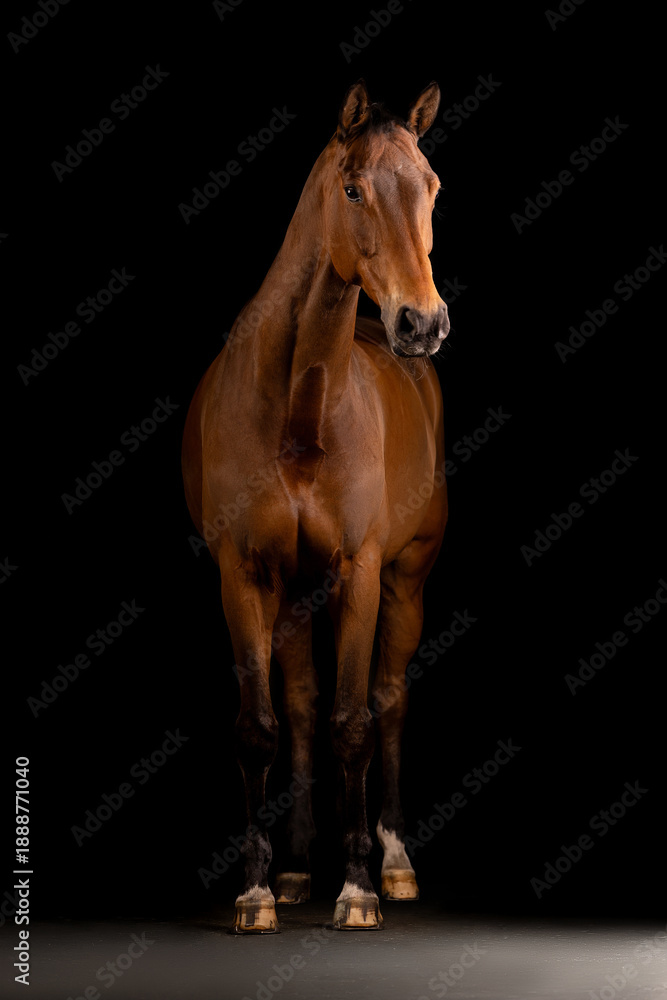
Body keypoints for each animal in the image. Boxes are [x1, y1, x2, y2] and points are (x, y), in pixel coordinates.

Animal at [182, 79, 449, 932]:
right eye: (354, 189)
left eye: (431, 187)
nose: (421, 323)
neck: (297, 409)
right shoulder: (243, 576)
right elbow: (261, 727)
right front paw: (257, 891)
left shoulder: (360, 572)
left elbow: (353, 722)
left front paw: (358, 888)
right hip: (296, 595)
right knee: (298, 710)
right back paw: (299, 868)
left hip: (405, 580)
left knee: (390, 701)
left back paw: (393, 863)